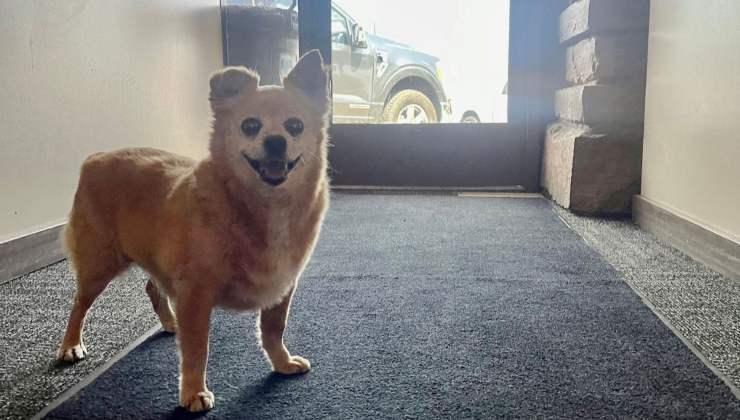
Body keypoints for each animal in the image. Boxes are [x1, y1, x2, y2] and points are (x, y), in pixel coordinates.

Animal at [55, 49, 326, 410]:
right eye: (250, 126)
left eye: (295, 126)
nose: (275, 141)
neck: (260, 206)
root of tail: (96, 157)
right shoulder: (196, 294)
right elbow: (197, 349)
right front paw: (194, 391)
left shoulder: (282, 286)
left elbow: (273, 329)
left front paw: (281, 362)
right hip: (99, 264)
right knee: (79, 305)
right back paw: (70, 345)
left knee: (153, 288)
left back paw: (171, 323)